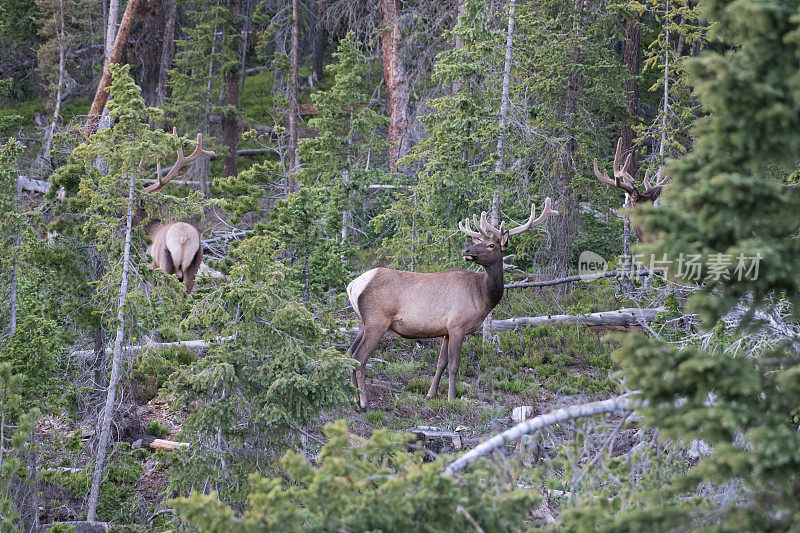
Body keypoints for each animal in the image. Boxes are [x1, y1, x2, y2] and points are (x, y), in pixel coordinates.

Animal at [346, 197, 560, 410]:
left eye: (491, 245)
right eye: (479, 242)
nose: (466, 250)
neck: (482, 295)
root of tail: (353, 285)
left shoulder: (446, 330)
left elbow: (441, 362)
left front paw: (431, 394)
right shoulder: (458, 325)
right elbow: (454, 365)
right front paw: (451, 397)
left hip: (362, 322)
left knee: (349, 352)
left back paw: (354, 397)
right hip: (377, 321)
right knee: (359, 357)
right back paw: (364, 401)